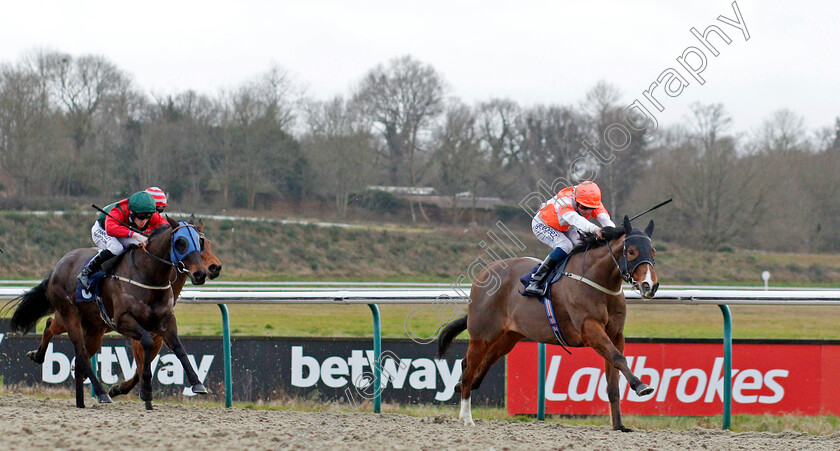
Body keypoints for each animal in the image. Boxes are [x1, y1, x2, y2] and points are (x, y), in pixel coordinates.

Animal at [9, 215, 208, 410]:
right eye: (180, 242)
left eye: (200, 241)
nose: (201, 274)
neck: (148, 275)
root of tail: (59, 266)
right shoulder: (124, 321)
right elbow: (147, 343)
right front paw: (146, 391)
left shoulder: (165, 320)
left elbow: (178, 348)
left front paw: (197, 383)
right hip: (69, 315)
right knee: (81, 353)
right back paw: (102, 393)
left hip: (92, 326)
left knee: (55, 330)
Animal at [436, 217, 660, 432]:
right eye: (631, 251)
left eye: (652, 251)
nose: (650, 285)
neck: (597, 282)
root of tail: (484, 273)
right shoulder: (590, 329)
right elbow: (618, 358)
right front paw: (641, 385)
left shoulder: (615, 335)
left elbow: (614, 378)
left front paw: (619, 425)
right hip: (482, 335)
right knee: (469, 368)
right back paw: (467, 418)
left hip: (508, 337)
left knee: (482, 364)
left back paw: (459, 388)